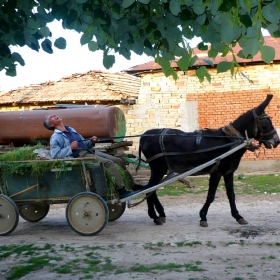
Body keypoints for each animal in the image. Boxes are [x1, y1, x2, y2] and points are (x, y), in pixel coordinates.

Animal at [135, 95, 278, 226]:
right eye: (265, 124)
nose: (277, 141)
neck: (230, 140)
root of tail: (144, 135)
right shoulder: (216, 172)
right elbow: (211, 195)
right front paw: (203, 216)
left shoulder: (228, 172)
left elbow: (231, 195)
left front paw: (238, 216)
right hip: (158, 169)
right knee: (149, 189)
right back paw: (156, 215)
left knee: (149, 189)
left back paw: (158, 214)